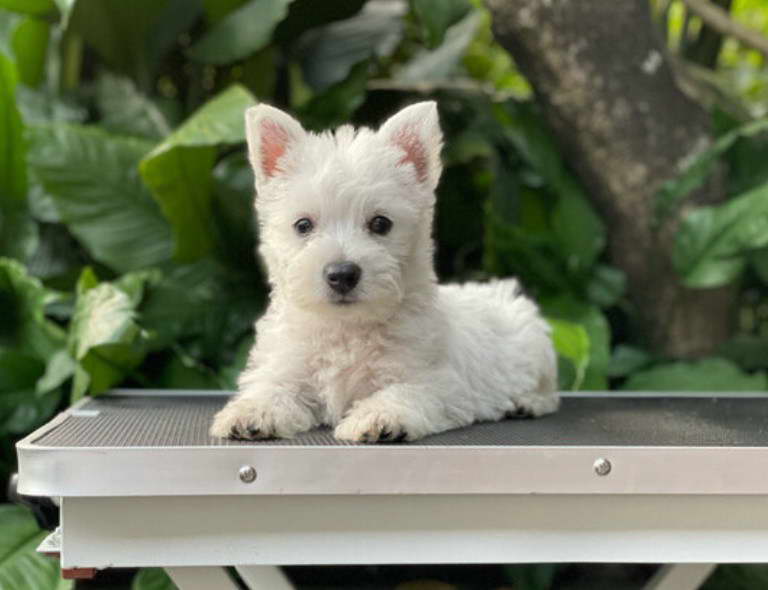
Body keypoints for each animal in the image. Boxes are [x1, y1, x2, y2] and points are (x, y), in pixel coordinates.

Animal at [210, 102, 560, 444]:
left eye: (381, 223)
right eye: (303, 225)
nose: (342, 274)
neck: (347, 328)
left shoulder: (434, 380)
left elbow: (403, 392)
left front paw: (377, 417)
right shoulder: (287, 367)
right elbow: (272, 387)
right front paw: (251, 412)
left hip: (536, 349)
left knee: (549, 392)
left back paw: (526, 402)